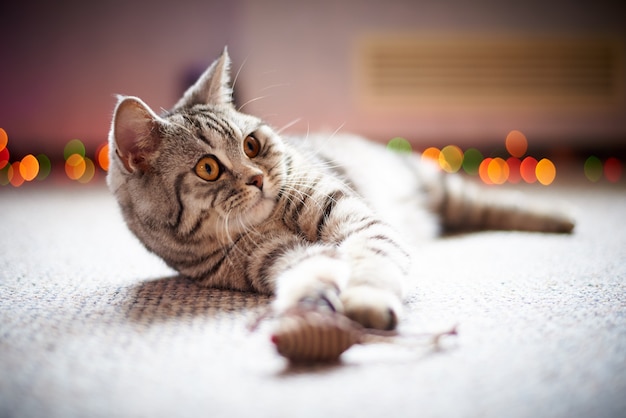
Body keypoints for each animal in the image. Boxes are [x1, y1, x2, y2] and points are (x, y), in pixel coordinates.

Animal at [106, 48, 572, 330]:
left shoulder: (357, 218)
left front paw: (365, 299)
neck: (268, 224)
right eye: (208, 168)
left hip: (438, 182)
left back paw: (560, 218)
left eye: (251, 145)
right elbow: (311, 273)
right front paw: (315, 305)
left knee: (493, 204)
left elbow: (372, 259)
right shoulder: (273, 260)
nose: (257, 178)